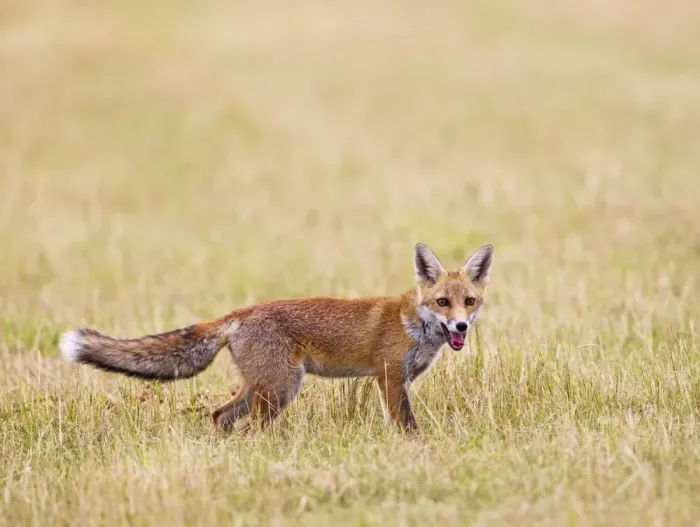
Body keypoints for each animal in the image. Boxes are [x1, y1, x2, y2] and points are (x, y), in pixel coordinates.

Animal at [59, 242, 493, 433]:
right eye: (442, 302)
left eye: (469, 301)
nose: (460, 328)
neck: (414, 323)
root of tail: (240, 313)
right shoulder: (388, 377)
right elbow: (407, 425)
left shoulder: (399, 381)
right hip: (282, 388)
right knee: (248, 427)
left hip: (262, 388)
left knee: (220, 416)